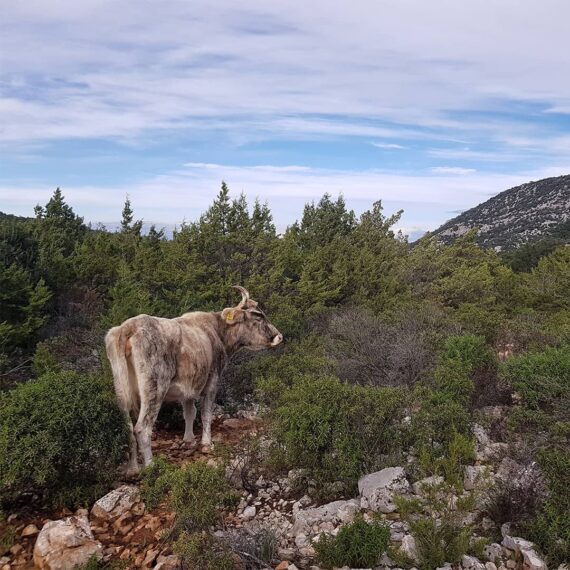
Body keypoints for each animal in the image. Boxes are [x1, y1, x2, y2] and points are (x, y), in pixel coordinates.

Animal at [104, 284, 282, 474]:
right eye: (258, 315)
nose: (279, 336)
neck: (217, 332)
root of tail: (129, 327)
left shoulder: (188, 388)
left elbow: (189, 412)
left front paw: (188, 440)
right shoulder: (212, 382)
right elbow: (205, 413)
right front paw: (207, 444)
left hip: (121, 390)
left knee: (128, 428)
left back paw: (132, 468)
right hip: (155, 388)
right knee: (142, 428)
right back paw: (151, 466)